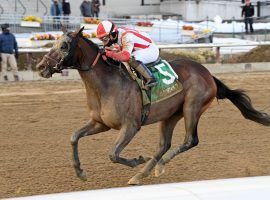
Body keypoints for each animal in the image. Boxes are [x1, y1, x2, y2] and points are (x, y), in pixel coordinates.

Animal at [35, 27, 270, 185]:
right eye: (54, 44)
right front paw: (80, 173)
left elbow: (113, 154)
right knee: (164, 144)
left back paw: (157, 166)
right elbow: (74, 137)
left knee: (190, 140)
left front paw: (138, 159)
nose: (41, 66)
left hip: (192, 107)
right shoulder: (100, 123)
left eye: (63, 46)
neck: (108, 84)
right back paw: (144, 173)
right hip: (170, 115)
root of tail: (208, 74)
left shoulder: (131, 126)